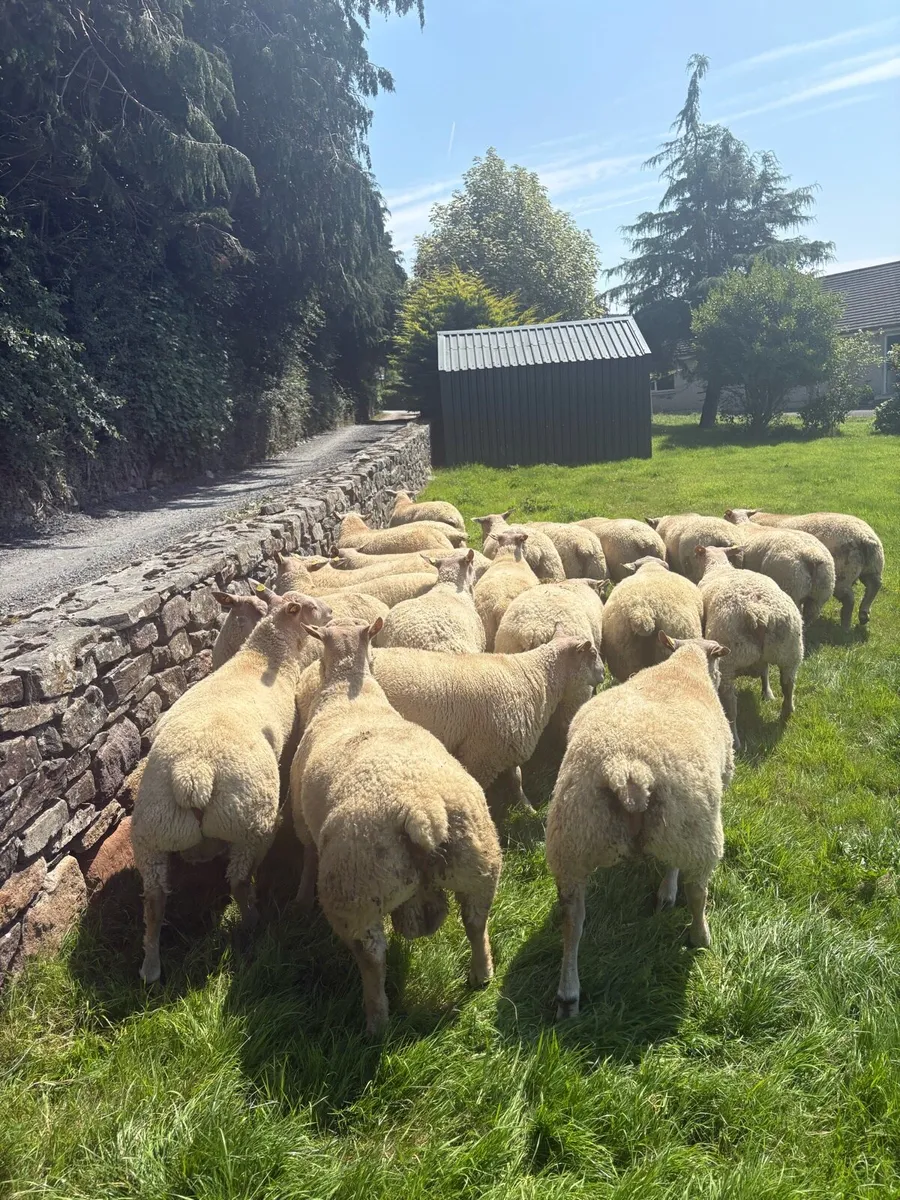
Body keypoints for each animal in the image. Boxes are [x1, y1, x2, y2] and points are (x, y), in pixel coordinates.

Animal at [131, 594, 332, 983]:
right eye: (310, 606)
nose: (331, 613)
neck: (261, 657)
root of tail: (193, 773)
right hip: (249, 821)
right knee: (239, 882)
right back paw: (254, 922)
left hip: (152, 833)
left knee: (153, 900)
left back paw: (150, 966)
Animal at [289, 617, 501, 1033]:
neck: (348, 692)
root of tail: (422, 810)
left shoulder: (300, 818)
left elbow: (305, 857)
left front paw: (301, 897)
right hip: (479, 864)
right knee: (475, 922)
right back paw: (481, 974)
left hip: (353, 891)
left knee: (371, 957)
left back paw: (375, 1020)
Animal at [546, 632, 733, 1019]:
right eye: (720, 661)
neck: (683, 669)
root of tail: (627, 770)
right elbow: (676, 872)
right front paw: (668, 893)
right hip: (693, 828)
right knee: (698, 891)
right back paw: (700, 936)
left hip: (572, 838)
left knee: (572, 920)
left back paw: (568, 994)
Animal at [696, 545, 804, 749]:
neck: (719, 566)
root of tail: (759, 613)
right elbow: (765, 671)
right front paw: (767, 693)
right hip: (790, 650)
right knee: (788, 684)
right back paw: (785, 712)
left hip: (728, 658)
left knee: (731, 705)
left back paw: (736, 742)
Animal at [724, 508, 884, 629]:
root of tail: (866, 538)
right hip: (871, 568)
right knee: (874, 585)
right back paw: (863, 614)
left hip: (841, 575)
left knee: (849, 598)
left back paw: (845, 624)